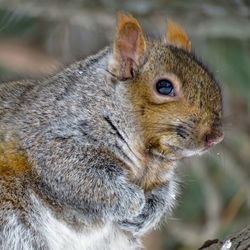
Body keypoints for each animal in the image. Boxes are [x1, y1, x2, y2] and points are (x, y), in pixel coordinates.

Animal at [0, 14, 223, 250]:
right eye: (164, 86)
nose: (216, 137)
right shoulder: (49, 140)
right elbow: (79, 176)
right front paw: (133, 202)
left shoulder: (159, 177)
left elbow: (163, 191)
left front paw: (149, 214)